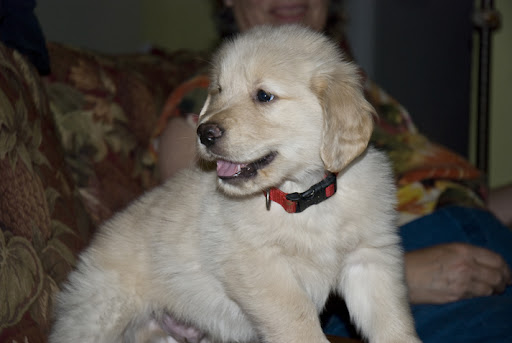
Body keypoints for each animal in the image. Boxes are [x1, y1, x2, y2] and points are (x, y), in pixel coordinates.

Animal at [51, 24, 420, 343]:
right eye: (218, 91)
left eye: (264, 96)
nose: (204, 133)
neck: (303, 198)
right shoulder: (258, 267)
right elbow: (299, 321)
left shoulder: (370, 260)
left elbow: (392, 321)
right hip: (103, 313)